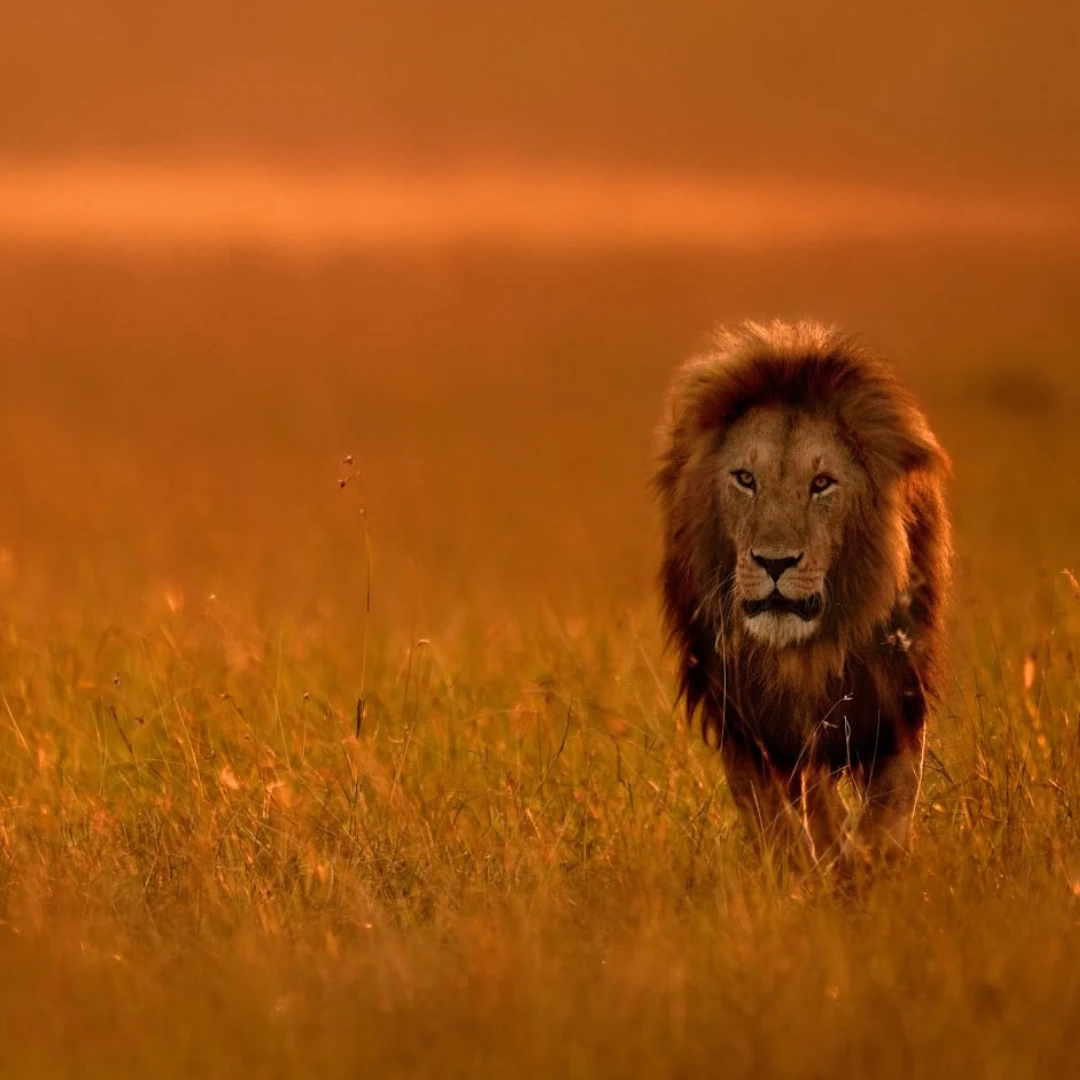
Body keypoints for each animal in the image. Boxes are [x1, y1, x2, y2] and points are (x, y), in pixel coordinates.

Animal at [653, 320, 951, 869]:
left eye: (822, 484)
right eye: (745, 479)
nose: (774, 563)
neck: (804, 654)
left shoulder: (894, 700)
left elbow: (889, 807)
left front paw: (871, 866)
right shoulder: (745, 722)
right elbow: (781, 815)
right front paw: (804, 869)